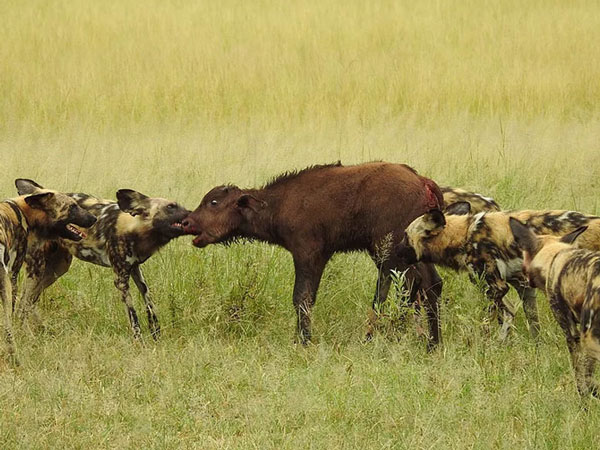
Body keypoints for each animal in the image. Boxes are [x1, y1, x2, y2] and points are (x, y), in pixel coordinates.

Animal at [17, 181, 189, 340]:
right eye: (171, 207)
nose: (191, 213)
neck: (134, 228)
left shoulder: (135, 270)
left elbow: (150, 304)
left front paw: (156, 336)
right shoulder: (121, 280)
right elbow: (133, 316)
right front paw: (140, 341)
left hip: (56, 269)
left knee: (29, 301)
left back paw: (42, 329)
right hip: (37, 269)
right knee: (23, 301)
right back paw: (27, 334)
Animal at [183, 160, 446, 346]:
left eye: (214, 202)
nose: (187, 222)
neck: (278, 204)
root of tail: (422, 182)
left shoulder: (308, 254)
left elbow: (302, 297)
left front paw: (303, 340)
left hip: (391, 251)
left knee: (411, 286)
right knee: (430, 284)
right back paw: (431, 343)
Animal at [400, 202, 600, 340]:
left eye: (405, 236)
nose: (394, 250)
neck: (465, 234)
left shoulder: (495, 286)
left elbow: (489, 321)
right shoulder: (521, 286)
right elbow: (526, 323)